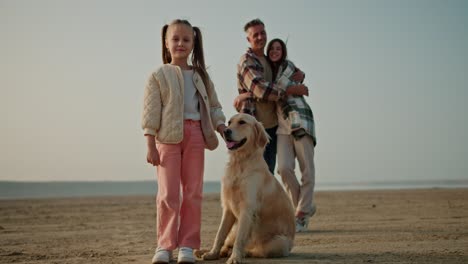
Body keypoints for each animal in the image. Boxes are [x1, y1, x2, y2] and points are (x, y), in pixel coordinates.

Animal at [203, 114, 294, 264]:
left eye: (242, 122)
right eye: (229, 122)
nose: (226, 131)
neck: (240, 162)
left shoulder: (247, 208)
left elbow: (240, 239)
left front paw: (235, 258)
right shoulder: (227, 207)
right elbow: (220, 234)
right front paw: (212, 253)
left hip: (279, 242)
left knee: (256, 250)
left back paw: (239, 253)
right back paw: (219, 251)